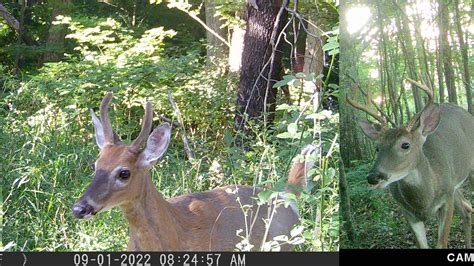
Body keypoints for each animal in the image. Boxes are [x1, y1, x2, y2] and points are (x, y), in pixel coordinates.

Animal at [346, 78, 472, 248]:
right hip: (455, 185)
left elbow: (441, 244)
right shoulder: (407, 211)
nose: (373, 177)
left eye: (405, 145)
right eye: (377, 148)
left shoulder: (447, 198)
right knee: (467, 208)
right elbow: (422, 245)